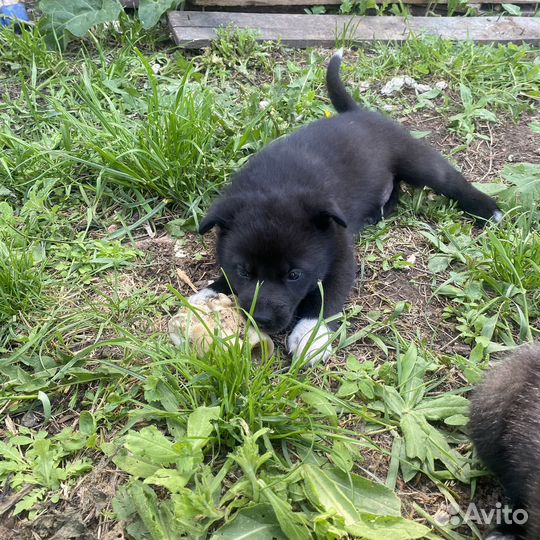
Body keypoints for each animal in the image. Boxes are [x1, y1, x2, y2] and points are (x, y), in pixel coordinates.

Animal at [192, 50, 500, 364]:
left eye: (294, 275)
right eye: (243, 272)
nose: (263, 320)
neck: (275, 185)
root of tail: (357, 113)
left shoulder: (340, 255)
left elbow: (328, 297)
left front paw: (310, 335)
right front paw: (210, 292)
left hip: (416, 159)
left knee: (449, 181)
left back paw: (488, 209)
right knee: (395, 189)